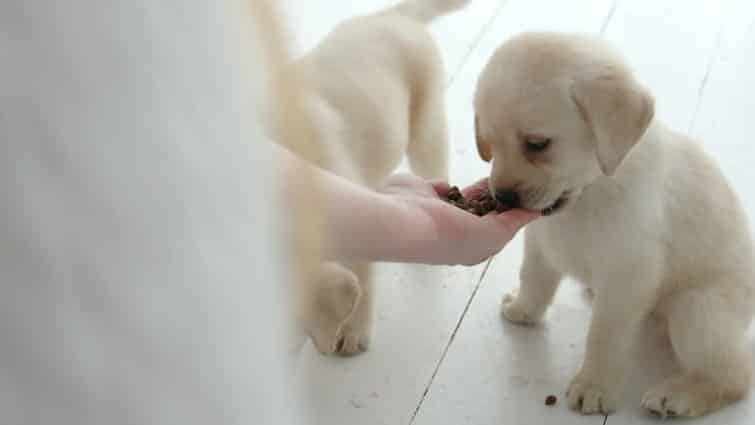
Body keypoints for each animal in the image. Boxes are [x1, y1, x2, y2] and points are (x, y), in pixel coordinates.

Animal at [476, 30, 755, 418]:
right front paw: (523, 309)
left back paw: (679, 395)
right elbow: (534, 278)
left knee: (735, 375)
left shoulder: (627, 275)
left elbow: (603, 335)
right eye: (489, 144)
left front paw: (593, 385)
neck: (590, 192)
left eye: (538, 144)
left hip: (697, 311)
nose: (502, 198)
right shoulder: (541, 240)